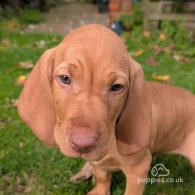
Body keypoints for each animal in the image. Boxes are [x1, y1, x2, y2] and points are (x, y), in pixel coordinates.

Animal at [17, 23, 195, 194]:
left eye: (116, 87)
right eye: (65, 78)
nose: (82, 144)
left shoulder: (139, 168)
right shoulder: (98, 162)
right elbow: (102, 177)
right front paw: (100, 190)